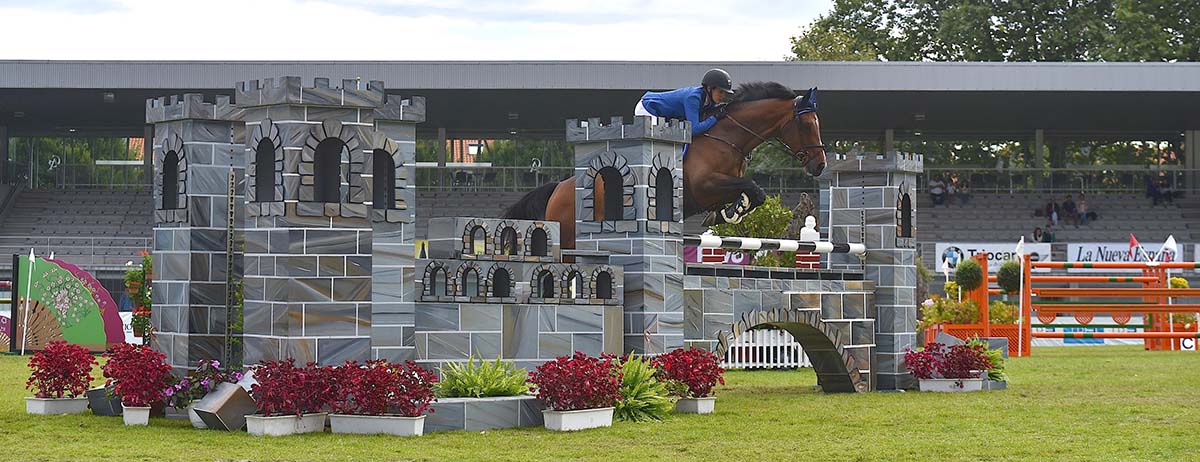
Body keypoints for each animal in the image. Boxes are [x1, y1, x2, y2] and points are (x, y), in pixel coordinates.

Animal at [504, 81, 825, 249]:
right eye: (807, 125)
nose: (820, 165)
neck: (728, 138)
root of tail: (558, 188)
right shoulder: (705, 186)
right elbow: (753, 188)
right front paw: (733, 211)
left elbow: (753, 194)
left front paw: (729, 212)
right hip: (571, 237)